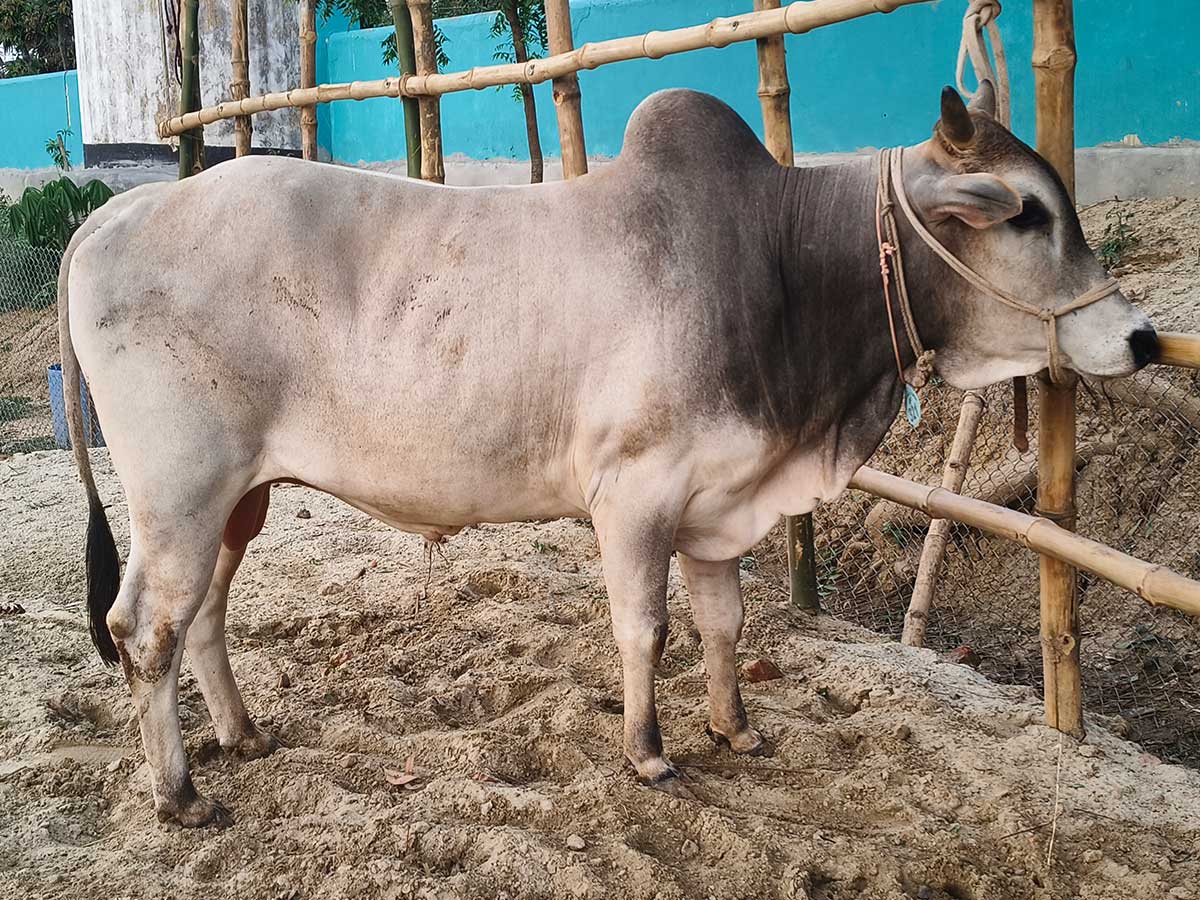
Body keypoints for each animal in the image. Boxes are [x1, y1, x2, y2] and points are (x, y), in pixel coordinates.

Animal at [59, 86, 1157, 827]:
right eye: (1026, 212)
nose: (1144, 338)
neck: (786, 265)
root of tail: (111, 214)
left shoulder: (722, 501)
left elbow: (723, 622)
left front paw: (735, 729)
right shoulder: (634, 497)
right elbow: (646, 630)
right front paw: (650, 752)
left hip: (233, 501)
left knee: (202, 617)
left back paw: (243, 734)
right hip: (180, 493)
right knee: (142, 629)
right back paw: (179, 793)